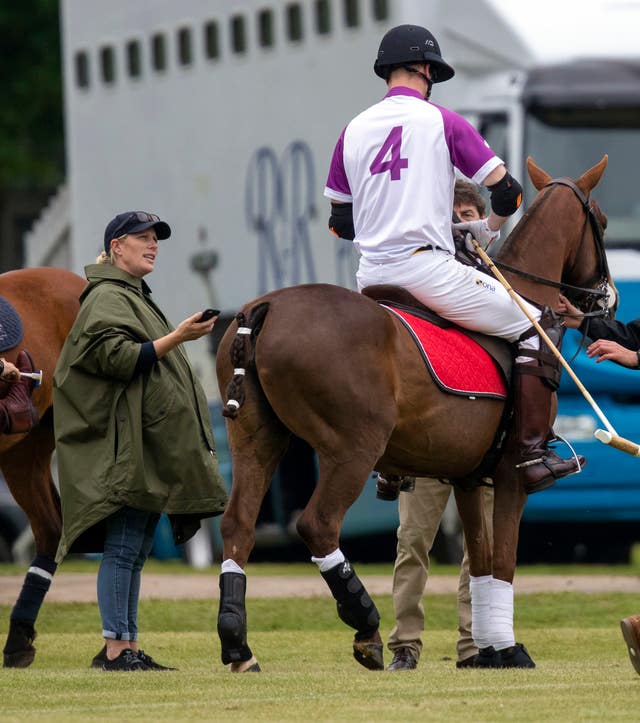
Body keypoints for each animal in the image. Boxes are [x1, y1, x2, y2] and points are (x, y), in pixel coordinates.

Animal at [216, 158, 616, 672]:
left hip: (254, 437)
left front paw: (487, 651)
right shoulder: (511, 474)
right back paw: (365, 627)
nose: (607, 299)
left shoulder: (468, 476)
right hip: (353, 448)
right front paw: (510, 650)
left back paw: (238, 646)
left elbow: (480, 562)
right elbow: (504, 562)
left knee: (237, 524)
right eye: (601, 222)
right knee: (317, 524)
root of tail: (265, 308)